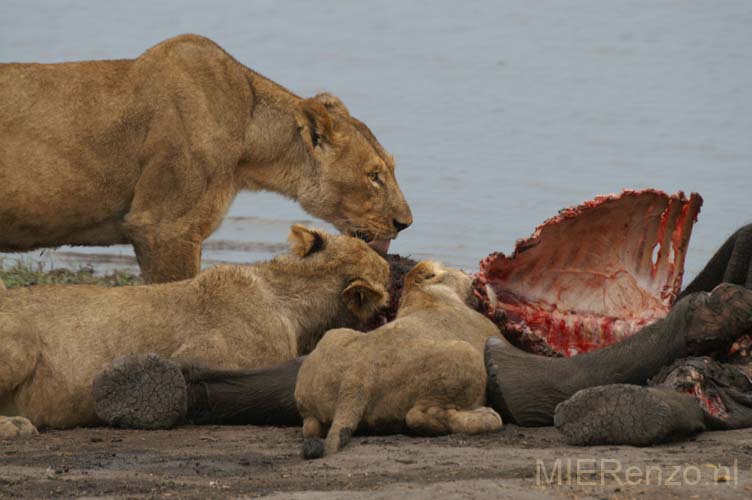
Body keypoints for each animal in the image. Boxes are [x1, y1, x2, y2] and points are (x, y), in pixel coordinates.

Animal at [296, 260, 506, 458]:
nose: (473, 278)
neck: (424, 295)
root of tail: (355, 378)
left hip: (332, 339)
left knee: (310, 426)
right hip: (465, 352)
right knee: (416, 416)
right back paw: (489, 416)